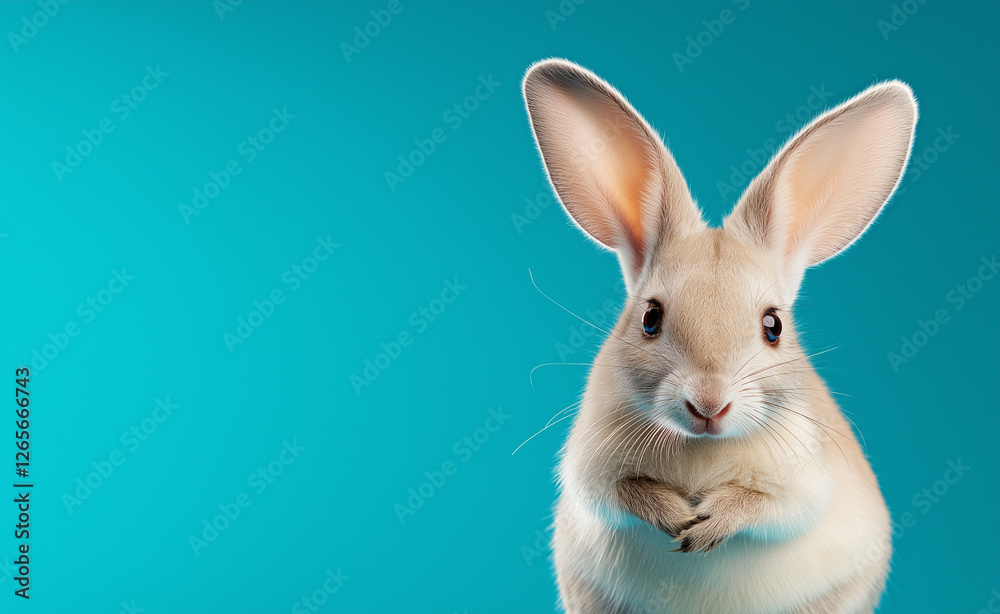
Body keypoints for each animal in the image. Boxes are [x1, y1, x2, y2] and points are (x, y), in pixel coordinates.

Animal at [521, 58, 916, 614]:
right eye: (650, 319)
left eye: (773, 327)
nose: (709, 406)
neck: (701, 447)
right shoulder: (589, 471)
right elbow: (622, 491)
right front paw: (677, 517)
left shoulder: (804, 482)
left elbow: (768, 506)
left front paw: (705, 526)